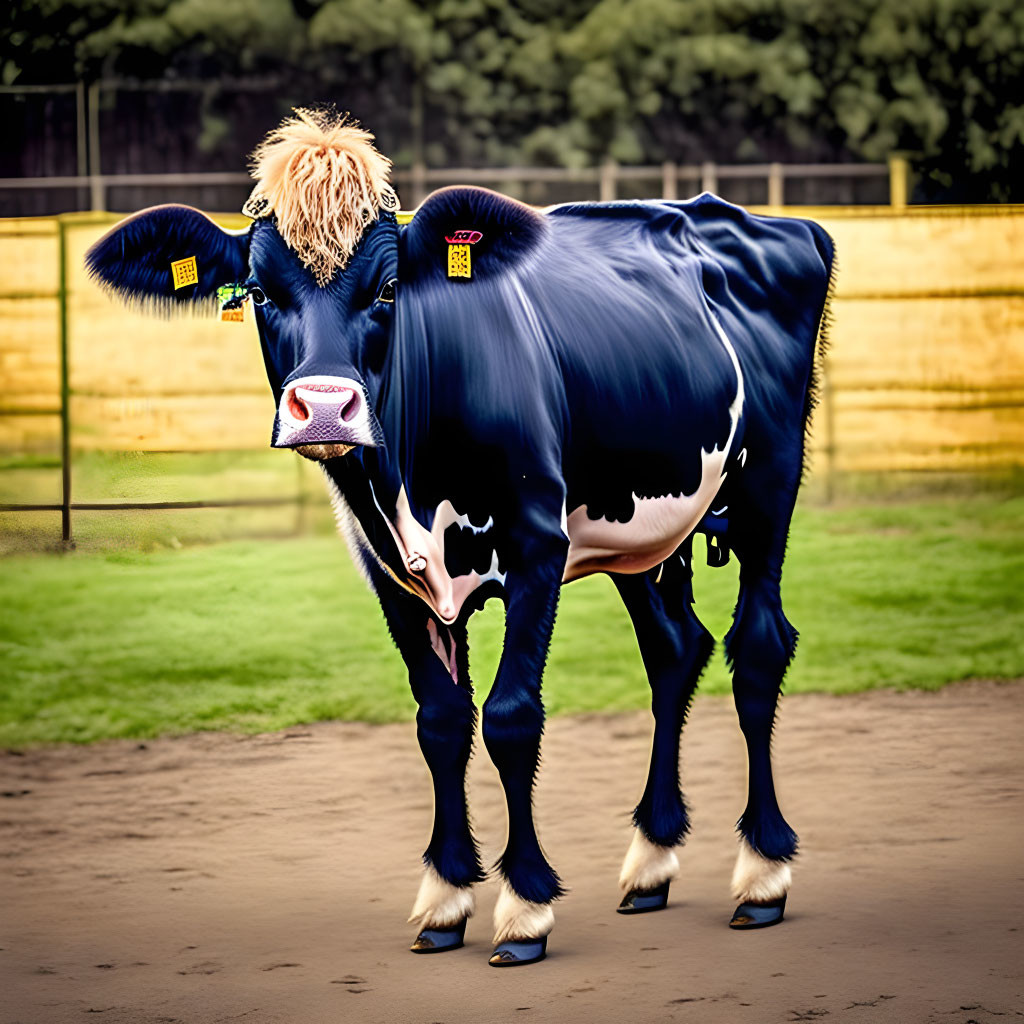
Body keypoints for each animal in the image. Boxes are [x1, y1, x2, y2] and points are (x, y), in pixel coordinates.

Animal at [88, 110, 835, 966]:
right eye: (258, 292)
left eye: (387, 288)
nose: (325, 407)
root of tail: (760, 220)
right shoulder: (387, 572)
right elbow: (441, 722)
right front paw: (446, 897)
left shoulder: (539, 547)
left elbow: (512, 717)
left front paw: (525, 904)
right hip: (645, 532)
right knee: (677, 649)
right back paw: (651, 857)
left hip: (768, 484)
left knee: (759, 646)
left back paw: (764, 872)